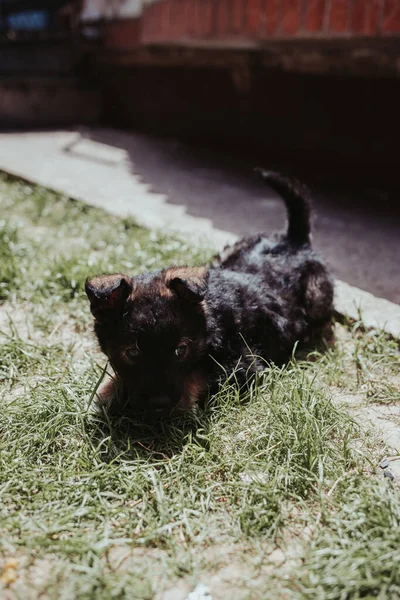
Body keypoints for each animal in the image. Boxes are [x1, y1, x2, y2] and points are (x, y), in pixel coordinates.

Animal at [86, 169, 334, 412]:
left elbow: (197, 375)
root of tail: (295, 240)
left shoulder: (243, 363)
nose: (160, 405)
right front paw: (106, 392)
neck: (210, 322)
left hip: (317, 296)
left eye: (180, 350)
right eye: (132, 353)